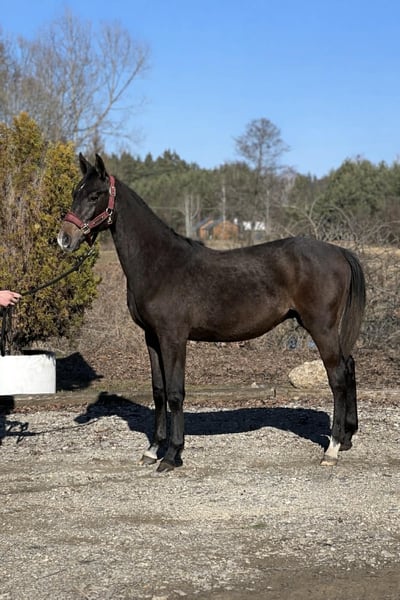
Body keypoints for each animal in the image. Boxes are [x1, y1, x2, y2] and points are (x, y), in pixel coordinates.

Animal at [58, 154, 366, 473]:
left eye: (94, 195)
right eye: (75, 192)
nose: (64, 239)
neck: (159, 263)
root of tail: (339, 251)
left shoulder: (173, 338)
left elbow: (175, 393)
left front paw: (172, 455)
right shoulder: (151, 337)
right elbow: (158, 392)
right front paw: (153, 449)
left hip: (321, 327)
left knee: (338, 377)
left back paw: (331, 449)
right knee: (349, 366)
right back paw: (347, 438)